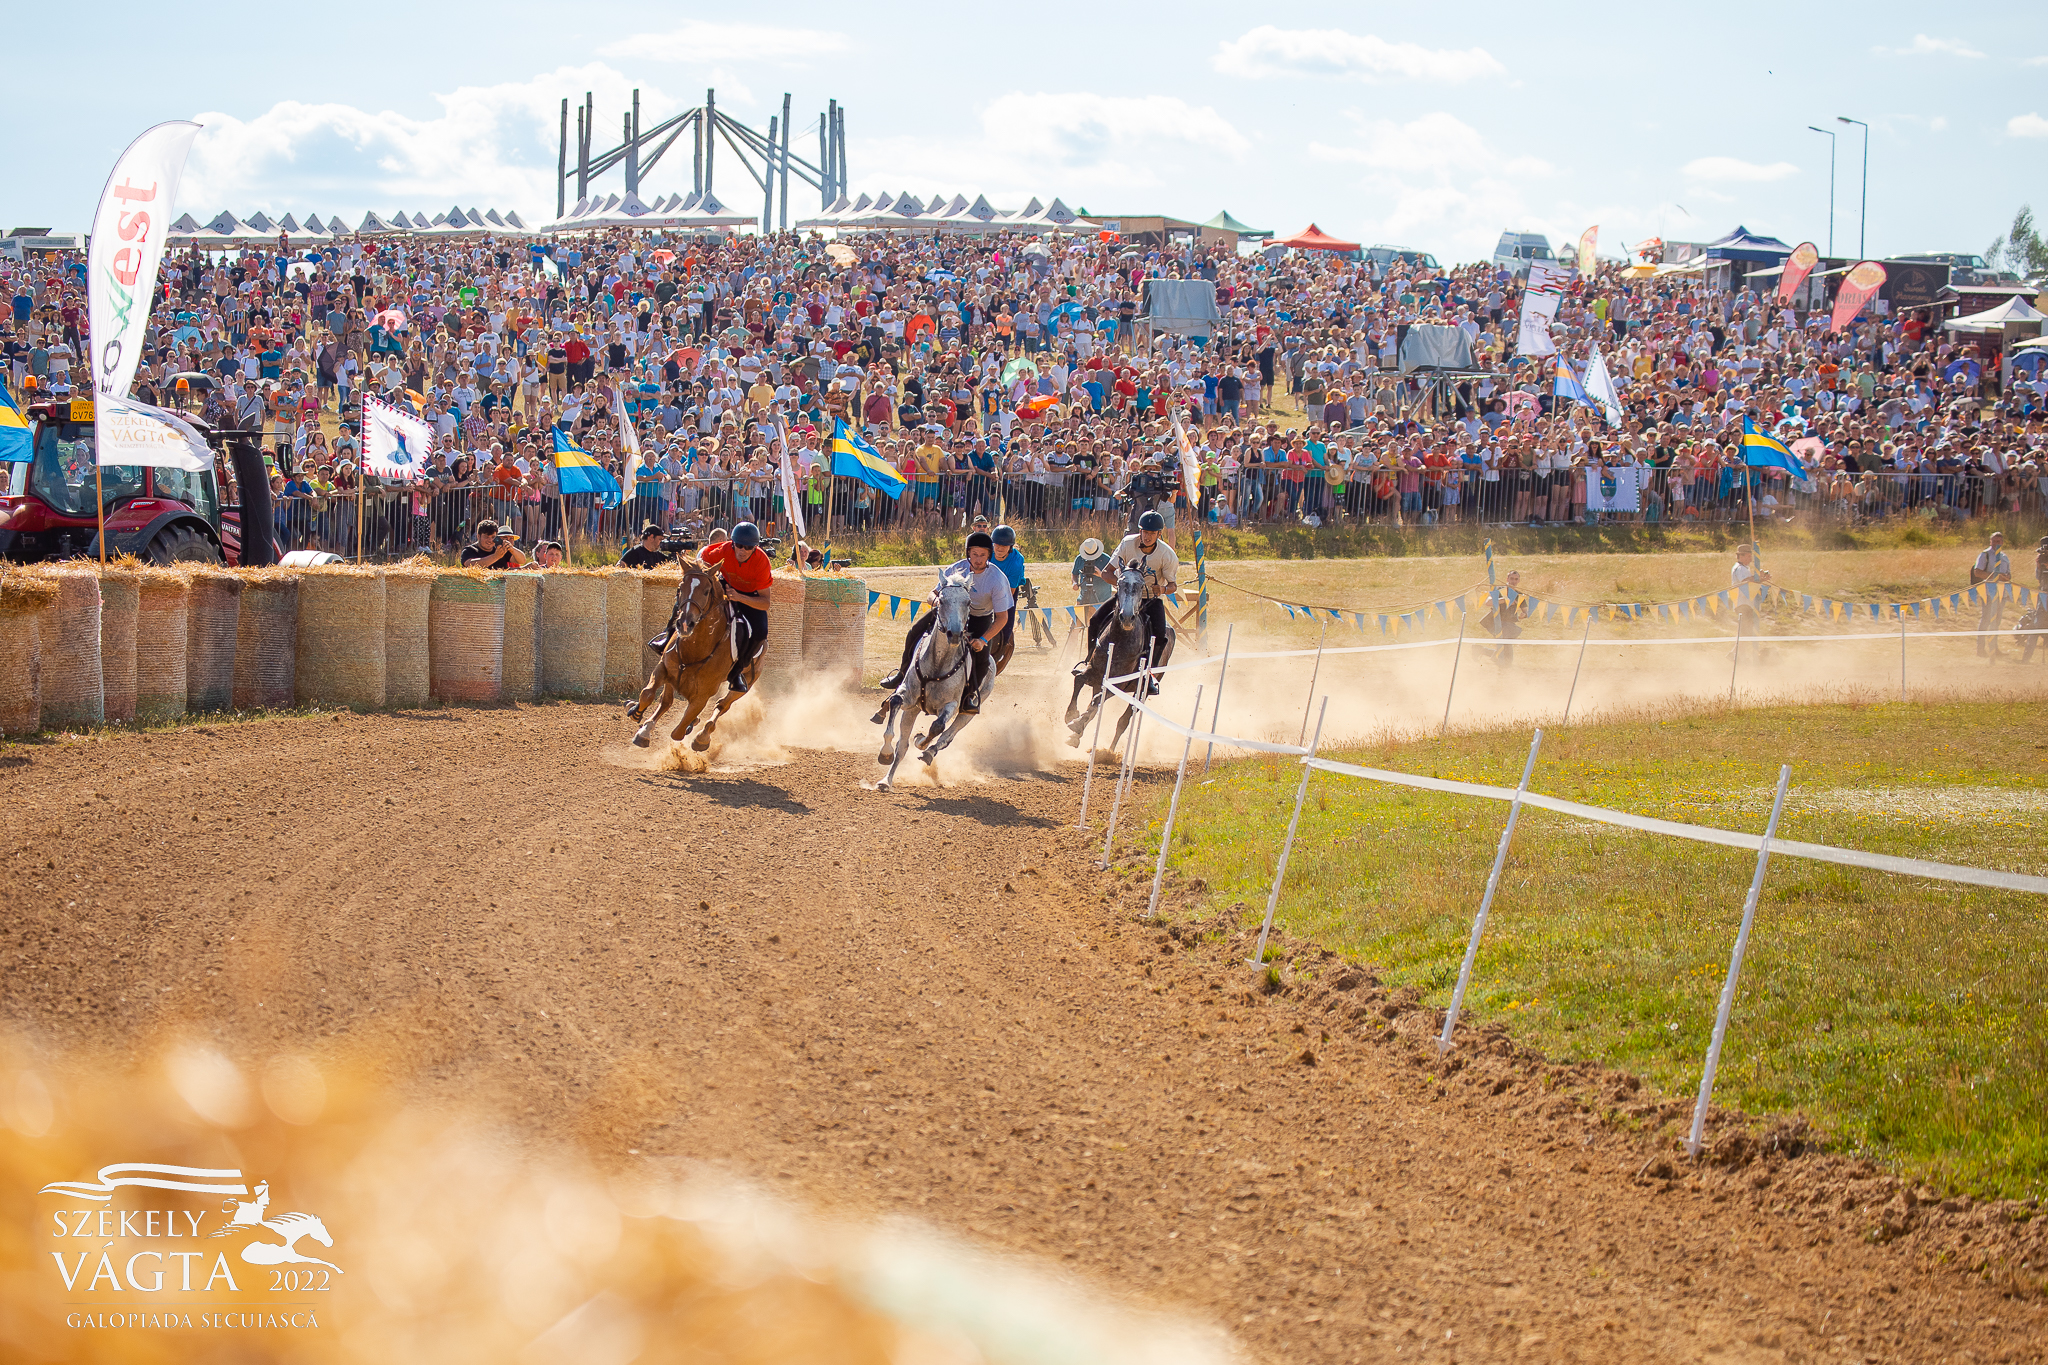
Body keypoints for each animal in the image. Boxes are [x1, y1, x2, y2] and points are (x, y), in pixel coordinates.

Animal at [622, 552, 761, 753]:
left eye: (706, 591)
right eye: (680, 587)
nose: (685, 624)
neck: (695, 648)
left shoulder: (702, 695)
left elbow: (678, 732)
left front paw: (690, 729)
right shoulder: (664, 668)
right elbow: (648, 694)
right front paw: (639, 722)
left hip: (747, 683)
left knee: (722, 705)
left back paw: (702, 736)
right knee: (666, 701)